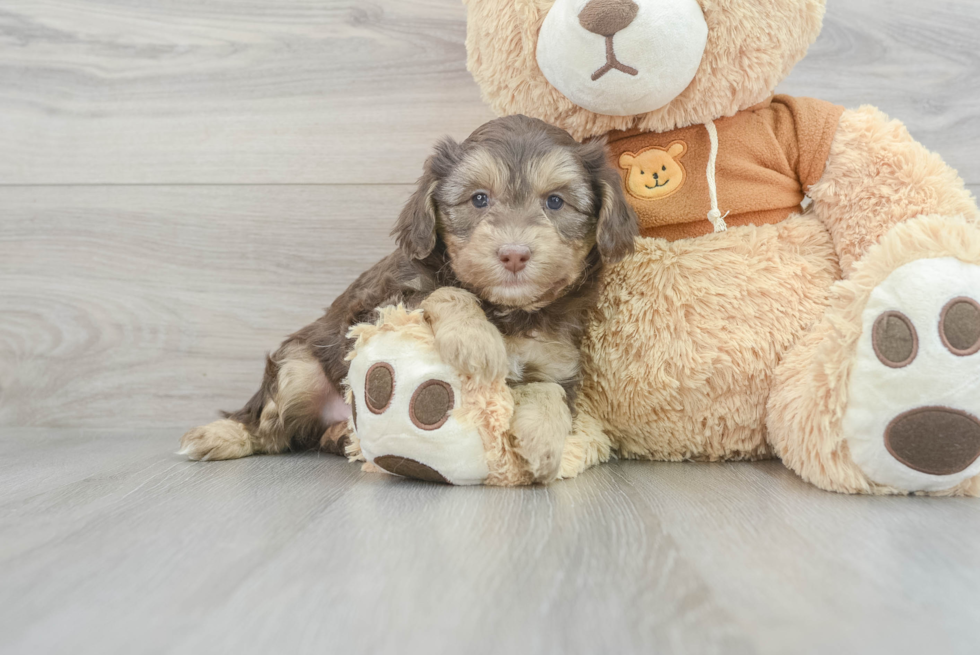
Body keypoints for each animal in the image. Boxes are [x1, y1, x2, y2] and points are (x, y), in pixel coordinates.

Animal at [178, 115, 636, 480]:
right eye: (479, 199)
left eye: (555, 202)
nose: (514, 253)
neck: (508, 311)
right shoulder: (378, 306)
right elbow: (444, 291)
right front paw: (476, 340)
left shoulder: (558, 362)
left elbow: (549, 392)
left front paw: (543, 443)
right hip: (299, 368)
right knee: (271, 427)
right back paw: (221, 436)